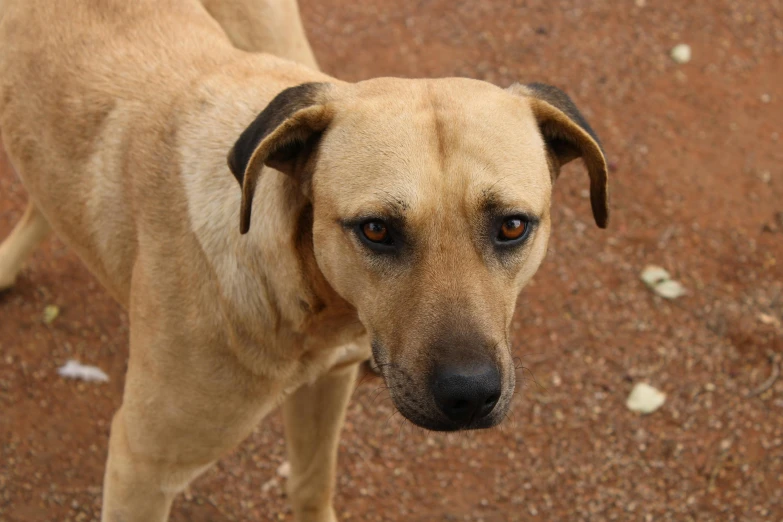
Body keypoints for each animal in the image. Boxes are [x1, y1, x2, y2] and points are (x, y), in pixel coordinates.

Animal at [0, 1, 608, 520]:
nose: (470, 395)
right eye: (376, 229)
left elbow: (312, 484)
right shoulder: (141, 467)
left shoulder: (327, 384)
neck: (309, 303)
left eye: (512, 226)